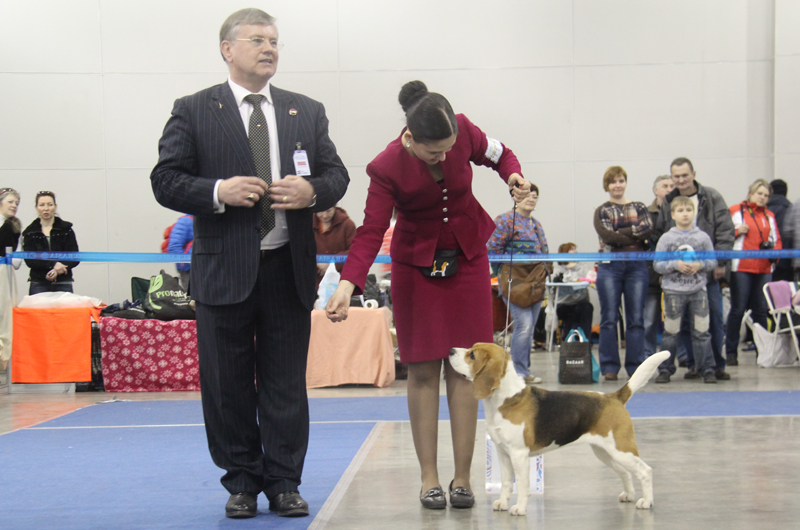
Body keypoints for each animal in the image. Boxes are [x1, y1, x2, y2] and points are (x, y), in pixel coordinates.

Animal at [449, 343, 669, 515]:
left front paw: (519, 508)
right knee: (625, 472)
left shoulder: (518, 454)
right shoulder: (503, 453)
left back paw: (646, 501)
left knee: (645, 471)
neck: (505, 399)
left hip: (621, 450)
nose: (450, 350)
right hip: (605, 452)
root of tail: (614, 397)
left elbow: (522, 485)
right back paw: (629, 495)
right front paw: (502, 503)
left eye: (472, 355)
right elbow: (506, 482)